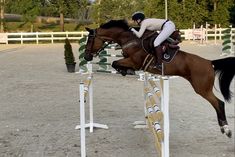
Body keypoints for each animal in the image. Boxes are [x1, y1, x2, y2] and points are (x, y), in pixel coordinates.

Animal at [84, 19, 235, 137]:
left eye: (90, 39)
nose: (86, 57)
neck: (130, 40)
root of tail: (210, 63)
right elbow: (115, 63)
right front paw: (125, 71)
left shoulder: (134, 61)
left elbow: (115, 62)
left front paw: (126, 71)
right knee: (218, 103)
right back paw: (223, 128)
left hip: (202, 89)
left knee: (219, 103)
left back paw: (226, 129)